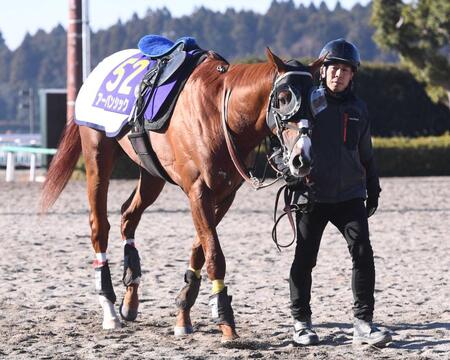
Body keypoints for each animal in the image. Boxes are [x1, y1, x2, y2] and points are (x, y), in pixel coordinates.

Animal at [38, 47, 320, 340]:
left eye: (316, 100)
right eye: (284, 98)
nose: (302, 158)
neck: (222, 114)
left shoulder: (224, 195)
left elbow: (200, 249)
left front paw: (184, 310)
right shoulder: (198, 192)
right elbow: (214, 255)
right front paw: (225, 319)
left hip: (151, 174)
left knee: (128, 215)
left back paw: (130, 297)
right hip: (97, 155)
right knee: (99, 226)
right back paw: (110, 309)